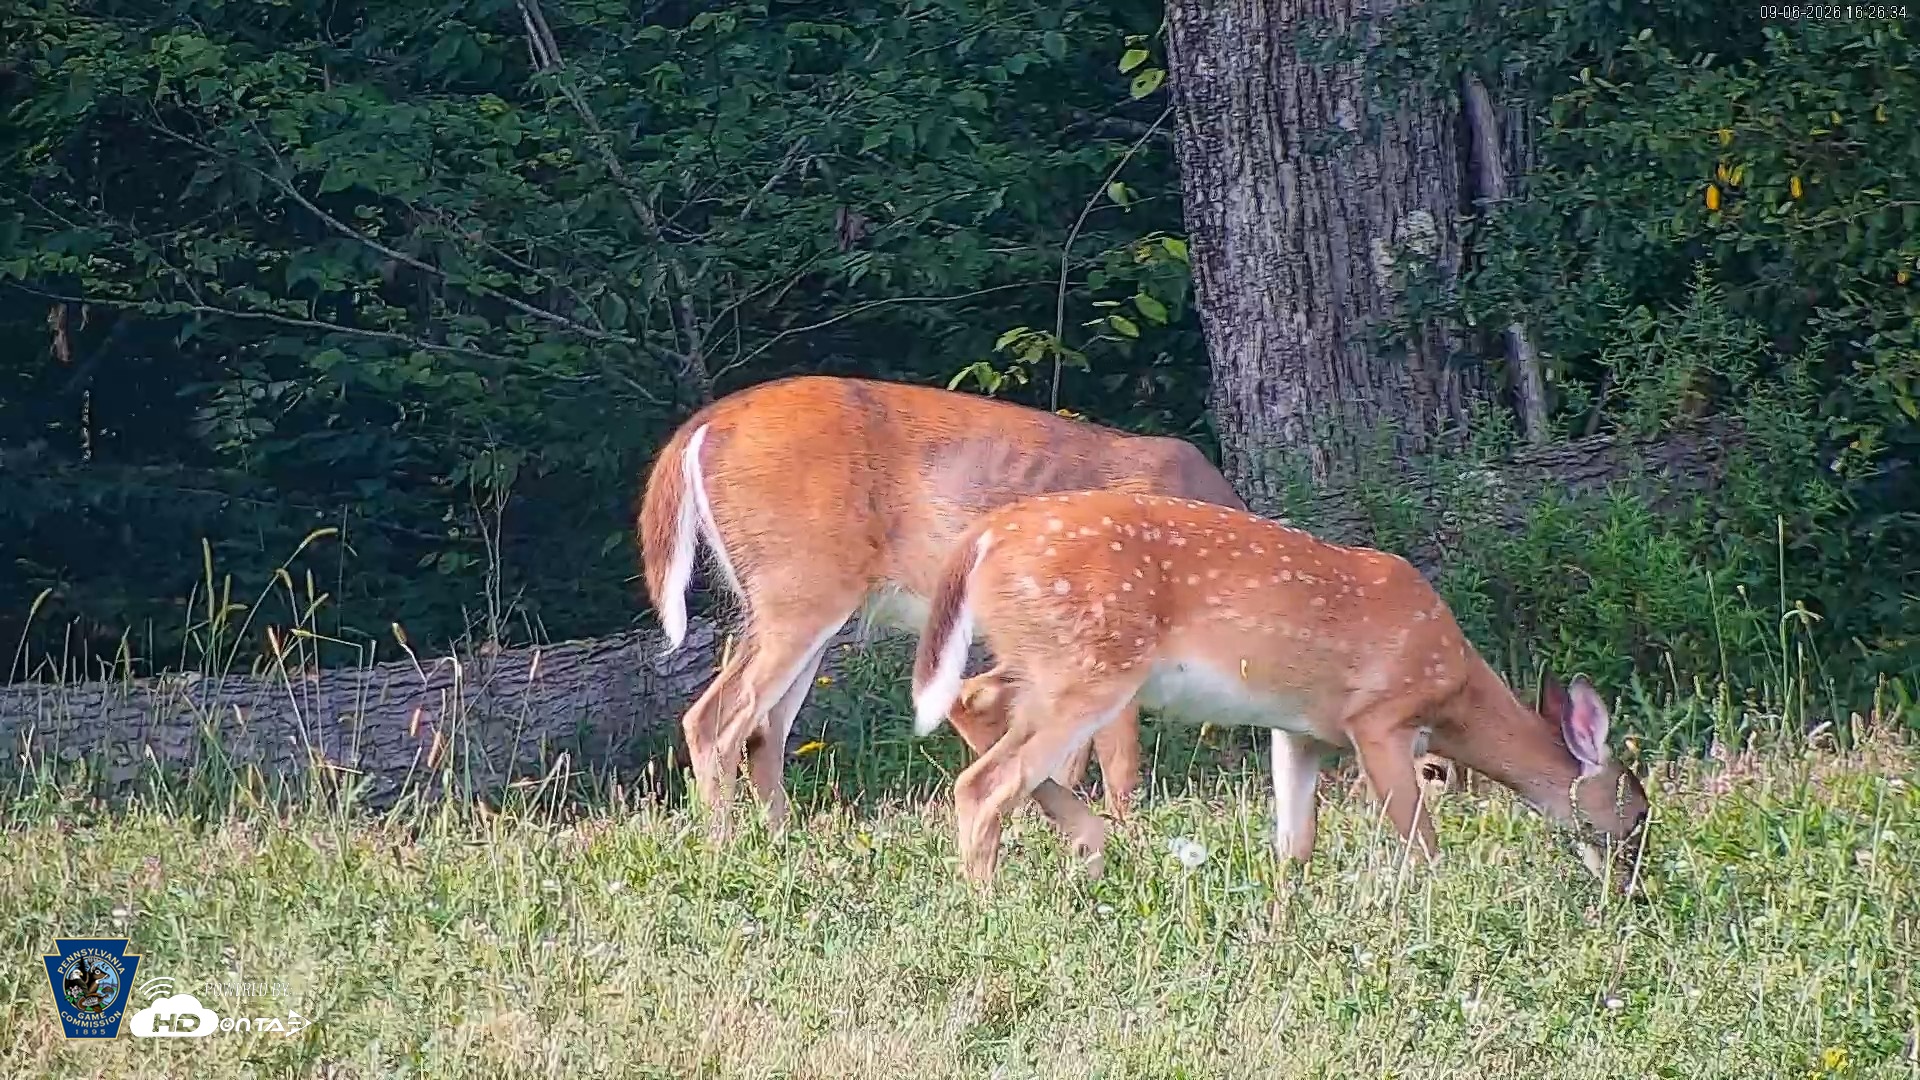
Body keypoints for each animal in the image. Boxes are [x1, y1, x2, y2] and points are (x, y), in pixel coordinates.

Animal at [637, 375, 1250, 837]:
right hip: (799, 587)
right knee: (715, 719)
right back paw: (726, 845)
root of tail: (704, 426)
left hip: (797, 601)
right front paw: (1127, 836)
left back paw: (785, 841)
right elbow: (1119, 761)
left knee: (764, 729)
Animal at [910, 489, 1651, 893]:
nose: (1633, 888)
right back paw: (991, 900)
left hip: (1043, 660)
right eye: (1639, 812)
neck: (1457, 693)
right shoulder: (1379, 719)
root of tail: (982, 536)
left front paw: (1286, 910)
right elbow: (1421, 838)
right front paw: (1429, 906)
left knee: (968, 700)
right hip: (1089, 666)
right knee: (981, 782)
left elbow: (1295, 845)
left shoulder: (1299, 731)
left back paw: (1090, 846)